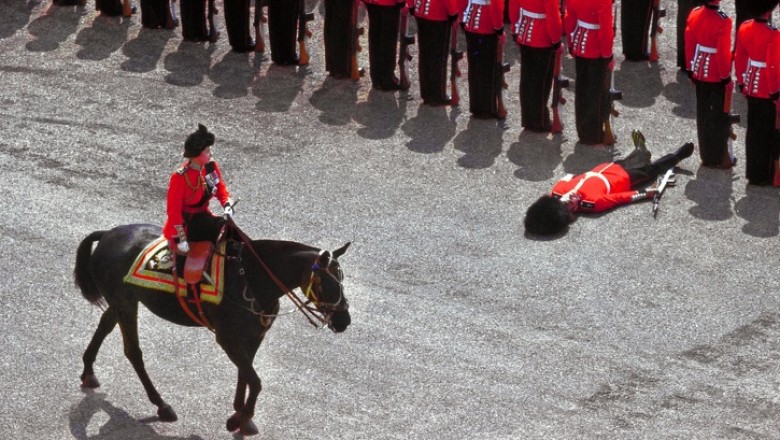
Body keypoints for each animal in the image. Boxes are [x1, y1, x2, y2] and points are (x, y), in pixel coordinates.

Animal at [73, 223, 354, 436]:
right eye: (326, 282)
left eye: (342, 279)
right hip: (126, 303)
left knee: (105, 325)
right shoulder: (227, 338)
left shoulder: (253, 337)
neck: (251, 278)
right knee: (133, 351)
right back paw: (161, 405)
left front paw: (241, 415)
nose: (344, 321)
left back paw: (88, 371)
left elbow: (246, 375)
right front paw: (241, 417)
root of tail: (108, 234)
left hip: (121, 302)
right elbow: (255, 381)